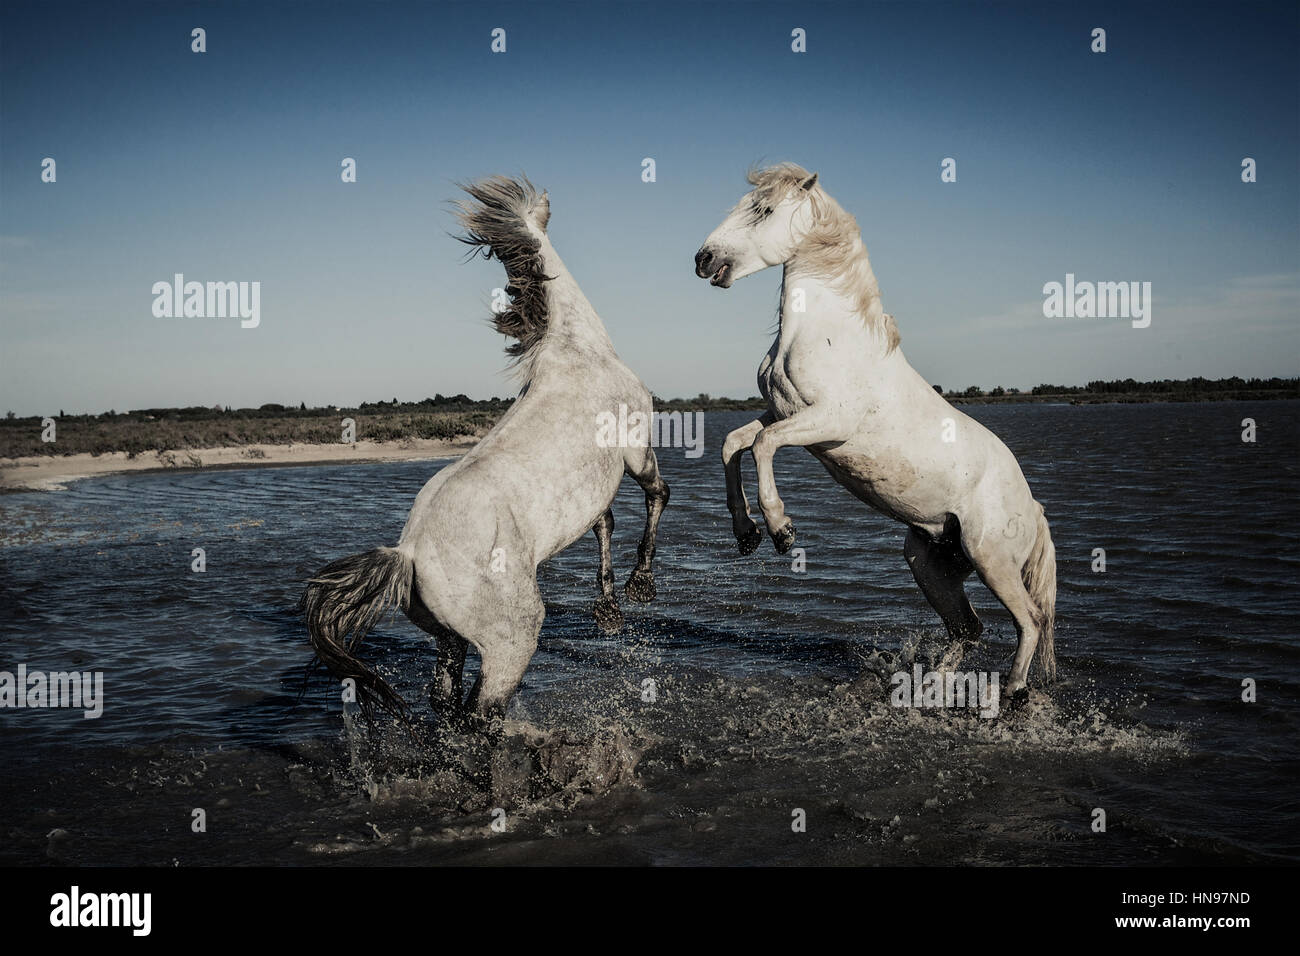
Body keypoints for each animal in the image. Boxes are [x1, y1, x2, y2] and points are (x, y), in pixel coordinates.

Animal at [302, 175, 670, 723]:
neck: (578, 350)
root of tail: (407, 554)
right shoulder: (635, 451)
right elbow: (655, 497)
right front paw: (640, 585)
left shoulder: (595, 490)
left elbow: (604, 525)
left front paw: (609, 611)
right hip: (511, 640)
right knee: (480, 713)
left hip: (449, 638)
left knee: (445, 703)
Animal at [696, 162, 1050, 702]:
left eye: (765, 209)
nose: (703, 259)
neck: (828, 335)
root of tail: (1032, 507)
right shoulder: (781, 411)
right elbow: (734, 443)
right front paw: (746, 533)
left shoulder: (827, 422)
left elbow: (761, 445)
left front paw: (781, 530)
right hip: (929, 560)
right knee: (968, 628)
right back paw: (931, 689)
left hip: (992, 560)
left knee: (1027, 620)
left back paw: (1011, 692)